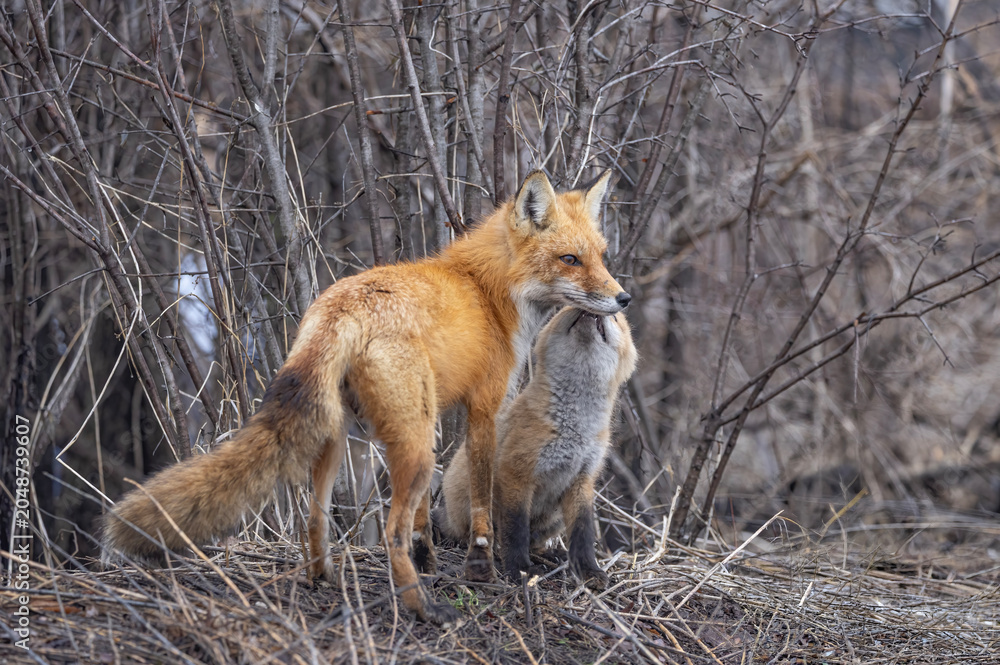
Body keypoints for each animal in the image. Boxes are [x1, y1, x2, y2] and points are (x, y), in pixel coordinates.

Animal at [436, 305, 637, 587]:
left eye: (615, 319)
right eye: (569, 309)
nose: (589, 309)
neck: (573, 429)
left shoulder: (582, 480)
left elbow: (583, 534)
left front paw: (589, 571)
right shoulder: (516, 473)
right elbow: (515, 531)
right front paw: (520, 569)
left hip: (554, 518)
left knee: (535, 541)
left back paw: (551, 554)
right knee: (480, 536)